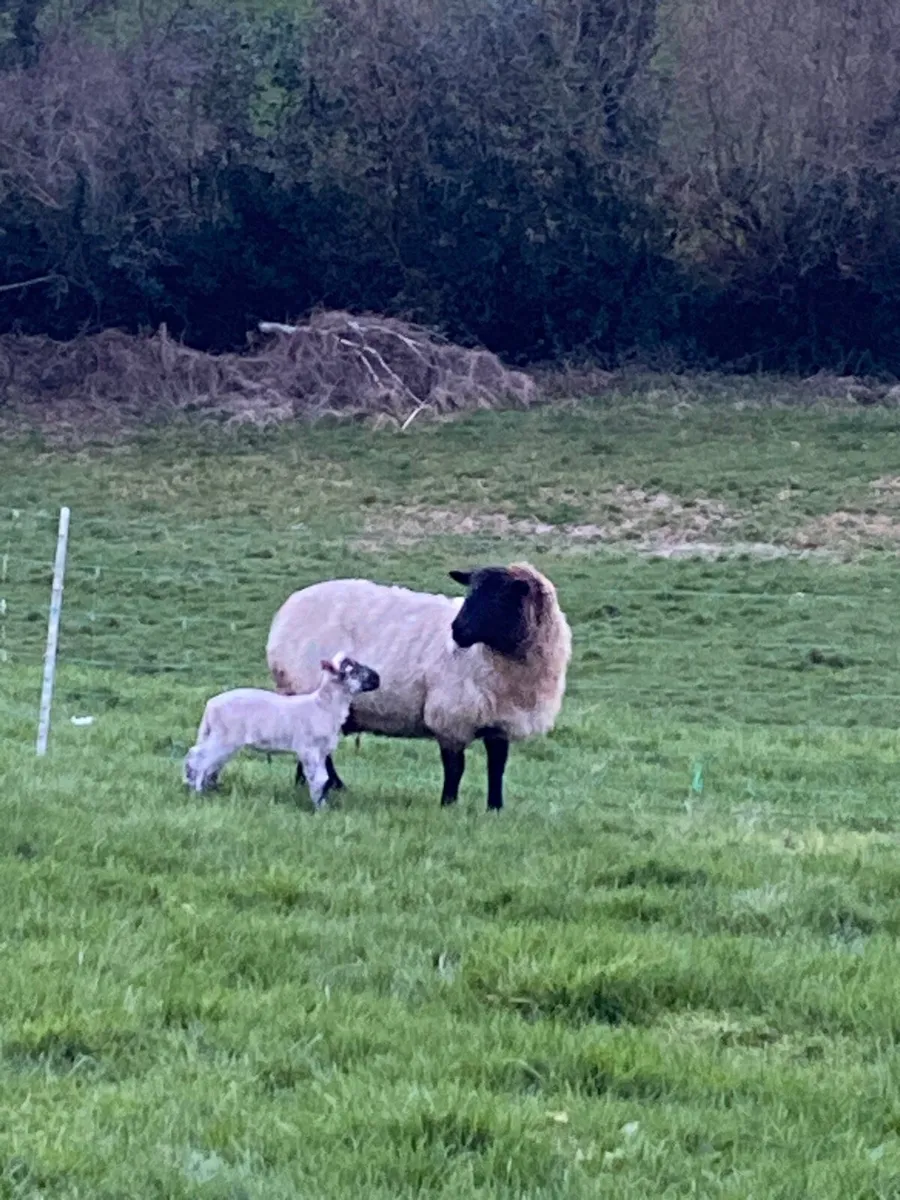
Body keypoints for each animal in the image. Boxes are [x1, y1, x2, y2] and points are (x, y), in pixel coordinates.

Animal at [182, 651, 380, 808]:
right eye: (353, 671)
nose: (377, 678)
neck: (323, 706)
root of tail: (210, 705)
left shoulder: (322, 751)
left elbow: (324, 777)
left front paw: (323, 805)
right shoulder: (308, 749)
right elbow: (317, 778)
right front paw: (318, 809)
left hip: (219, 736)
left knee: (201, 757)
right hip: (224, 737)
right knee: (199, 757)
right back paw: (196, 791)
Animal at [265, 562, 571, 811]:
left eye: (500, 597)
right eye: (470, 593)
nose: (456, 631)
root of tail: (288, 608)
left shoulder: (500, 720)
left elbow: (497, 767)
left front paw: (495, 808)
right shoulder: (450, 715)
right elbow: (455, 767)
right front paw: (448, 804)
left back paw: (310, 783)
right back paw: (332, 785)